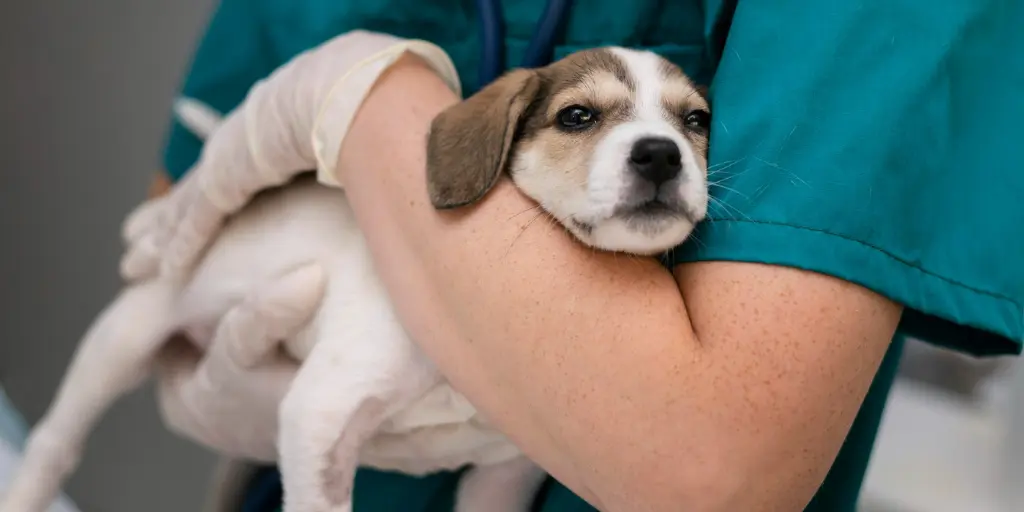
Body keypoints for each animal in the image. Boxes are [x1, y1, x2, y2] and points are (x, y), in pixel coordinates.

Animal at [2, 48, 712, 512]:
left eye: (695, 121)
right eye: (577, 117)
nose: (660, 155)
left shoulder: (504, 473)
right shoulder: (317, 414)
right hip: (125, 333)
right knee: (54, 443)